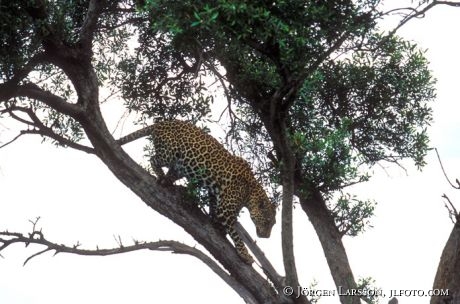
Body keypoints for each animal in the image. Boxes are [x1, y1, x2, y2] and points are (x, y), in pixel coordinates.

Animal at [118, 120, 276, 262]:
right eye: (268, 221)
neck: (251, 193)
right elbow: (236, 234)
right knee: (153, 159)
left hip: (180, 165)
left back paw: (167, 181)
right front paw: (245, 255)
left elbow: (214, 209)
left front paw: (216, 224)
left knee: (171, 171)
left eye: (273, 223)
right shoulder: (225, 209)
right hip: (169, 153)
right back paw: (161, 176)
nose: (267, 236)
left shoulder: (215, 194)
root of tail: (161, 122)